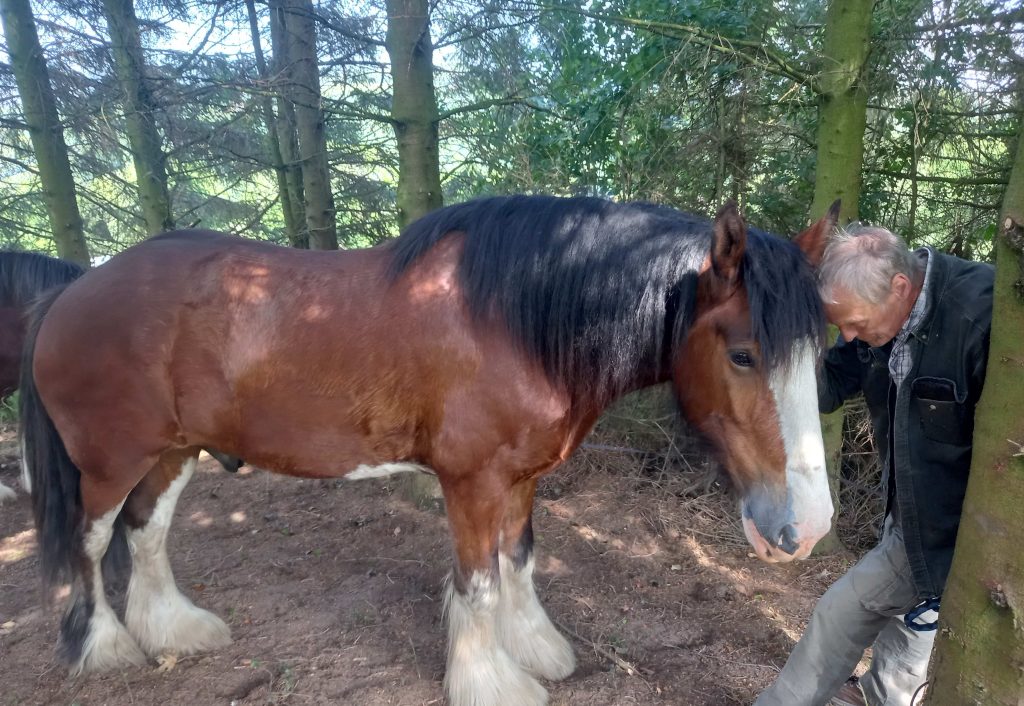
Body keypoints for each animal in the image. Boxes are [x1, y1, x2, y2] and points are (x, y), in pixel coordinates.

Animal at [20, 195, 837, 706]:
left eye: (818, 352)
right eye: (742, 354)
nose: (809, 526)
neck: (513, 317)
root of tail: (69, 294)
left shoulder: (520, 479)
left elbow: (518, 562)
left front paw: (534, 649)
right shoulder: (470, 481)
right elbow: (477, 583)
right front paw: (492, 682)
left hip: (173, 452)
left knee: (145, 532)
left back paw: (178, 631)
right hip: (109, 462)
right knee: (91, 544)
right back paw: (105, 648)